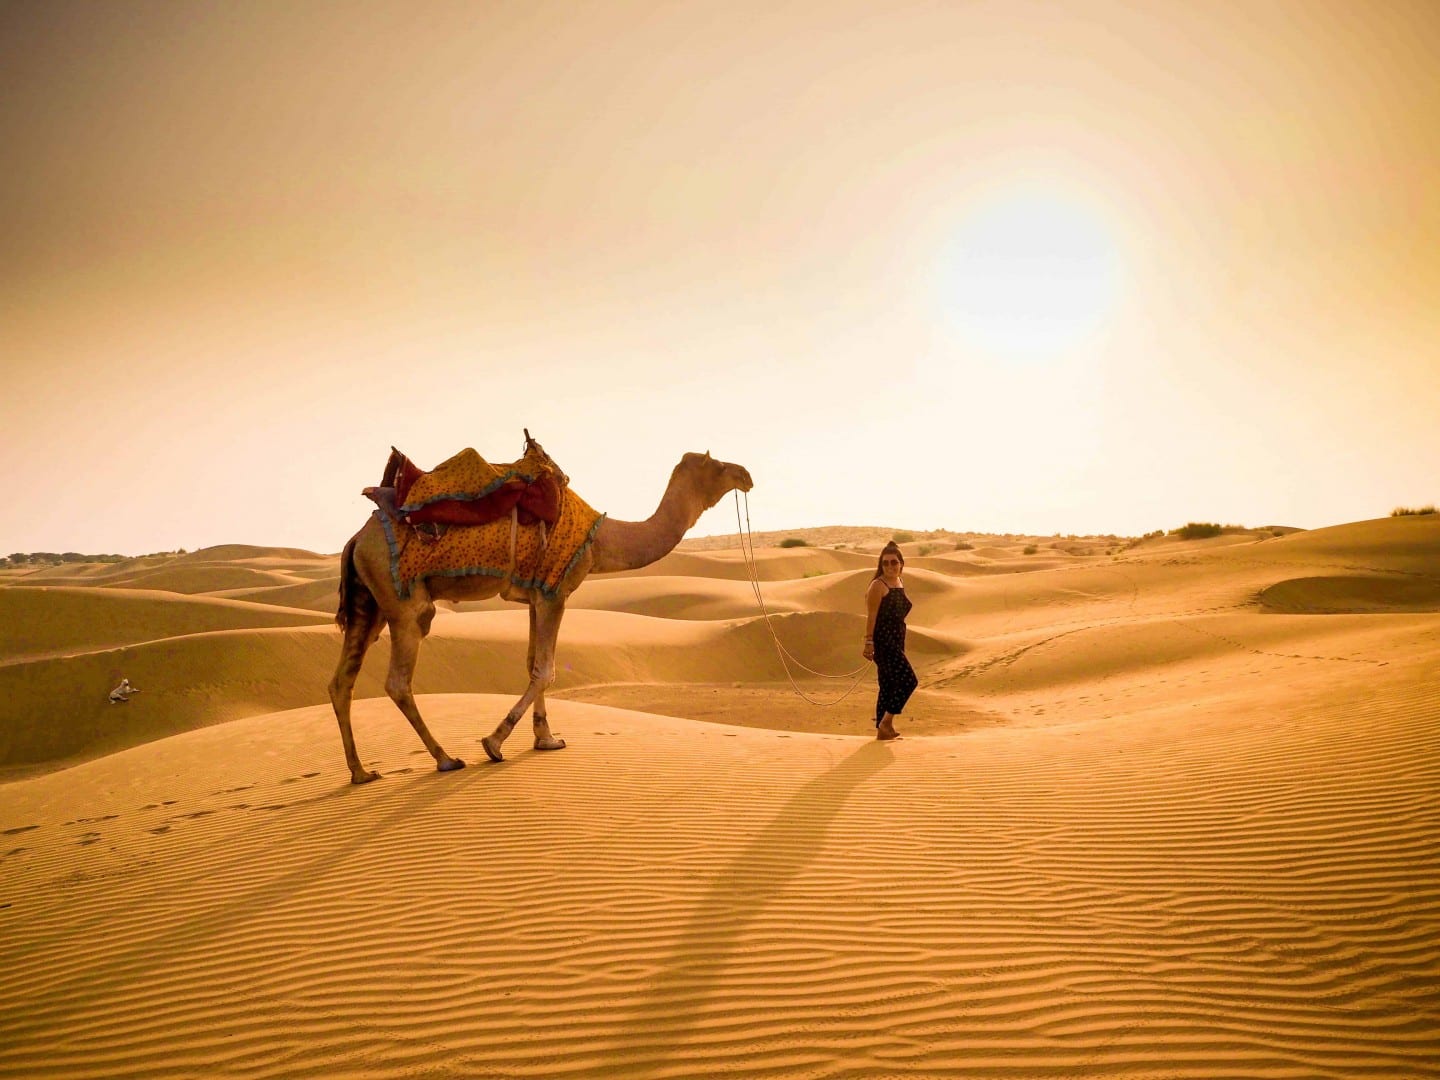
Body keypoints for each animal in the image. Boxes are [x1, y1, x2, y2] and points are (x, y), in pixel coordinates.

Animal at [326, 449, 754, 789]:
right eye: (718, 466)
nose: (747, 475)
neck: (600, 540)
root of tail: (355, 540)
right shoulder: (556, 590)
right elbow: (547, 669)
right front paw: (495, 743)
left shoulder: (536, 593)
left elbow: (533, 663)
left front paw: (545, 739)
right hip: (404, 603)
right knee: (398, 680)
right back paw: (445, 759)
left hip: (369, 603)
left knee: (341, 681)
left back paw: (361, 772)